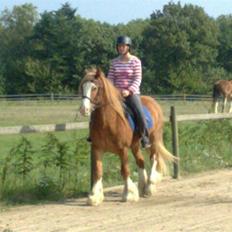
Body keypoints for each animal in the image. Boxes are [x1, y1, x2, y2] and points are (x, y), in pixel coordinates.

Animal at [79, 66, 175, 206]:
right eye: (82, 86)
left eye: (94, 88)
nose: (83, 109)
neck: (108, 122)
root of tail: (153, 101)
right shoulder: (97, 148)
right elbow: (98, 171)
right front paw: (94, 197)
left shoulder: (122, 149)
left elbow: (125, 170)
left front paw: (129, 194)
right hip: (135, 145)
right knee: (141, 161)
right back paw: (142, 187)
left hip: (154, 139)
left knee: (154, 158)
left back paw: (150, 186)